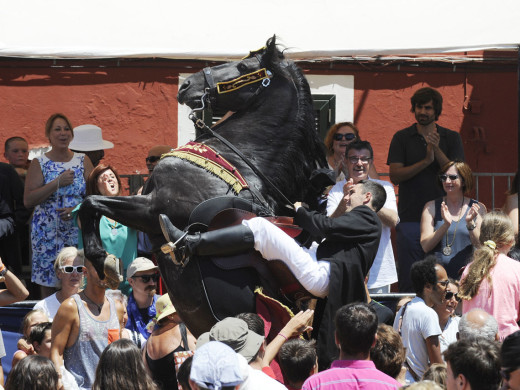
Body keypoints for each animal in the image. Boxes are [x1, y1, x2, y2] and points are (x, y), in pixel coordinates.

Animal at [79, 36, 328, 336]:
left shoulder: (154, 208)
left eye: (243, 66)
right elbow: (90, 203)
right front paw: (101, 260)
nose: (187, 85)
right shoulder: (148, 212)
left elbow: (91, 204)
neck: (239, 159)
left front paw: (100, 259)